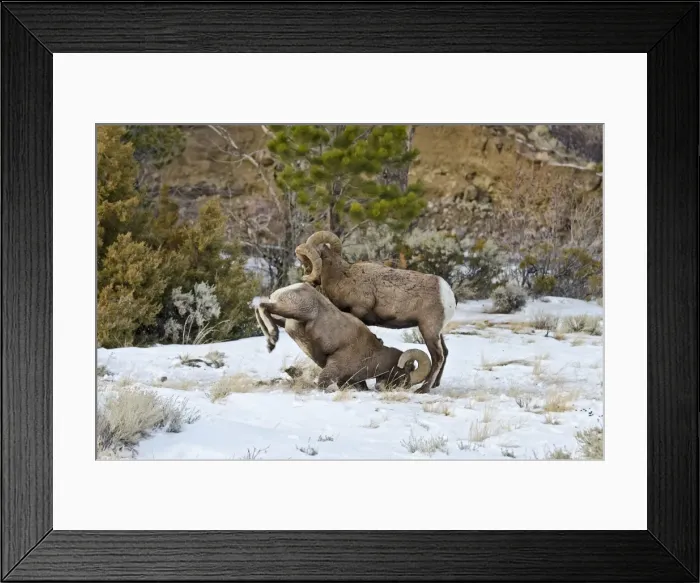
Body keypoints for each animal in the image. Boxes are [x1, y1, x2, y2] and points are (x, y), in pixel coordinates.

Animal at [254, 283, 431, 391]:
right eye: (407, 371)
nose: (405, 387)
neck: (373, 355)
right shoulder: (332, 371)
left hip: (285, 319)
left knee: (260, 307)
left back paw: (270, 341)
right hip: (298, 311)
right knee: (262, 306)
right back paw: (272, 339)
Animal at [295, 231, 457, 393]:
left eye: (307, 261)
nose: (309, 277)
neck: (342, 276)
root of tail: (447, 293)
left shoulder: (358, 311)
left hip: (428, 330)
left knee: (438, 357)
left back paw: (423, 389)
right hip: (436, 332)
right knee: (446, 352)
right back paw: (435, 384)